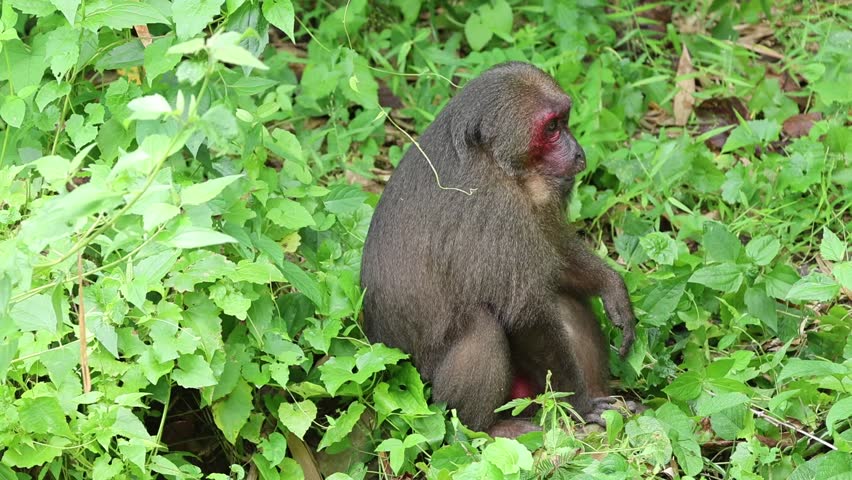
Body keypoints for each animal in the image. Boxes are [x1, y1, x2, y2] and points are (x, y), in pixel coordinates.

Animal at [360, 62, 636, 437]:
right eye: (552, 128)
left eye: (563, 120)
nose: (579, 154)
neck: (494, 161)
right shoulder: (496, 206)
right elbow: (524, 315)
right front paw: (579, 405)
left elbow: (553, 259)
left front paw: (611, 286)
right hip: (432, 393)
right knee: (483, 325)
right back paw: (486, 428)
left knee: (561, 299)